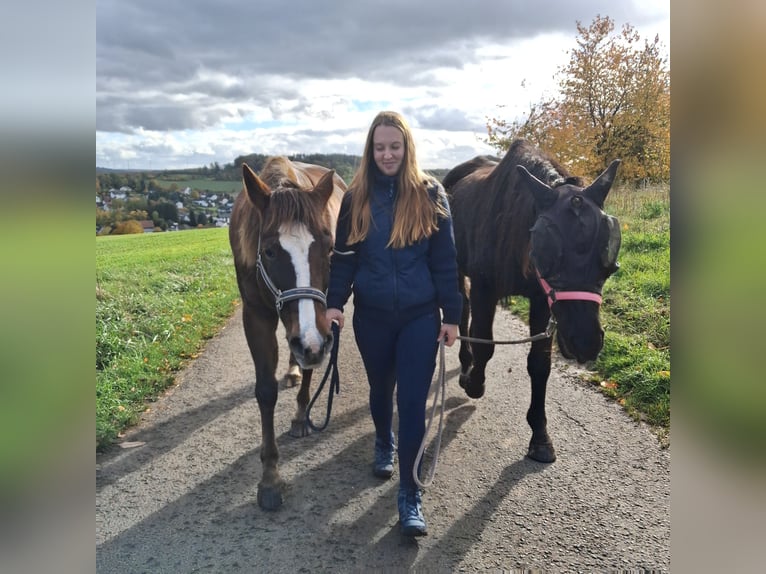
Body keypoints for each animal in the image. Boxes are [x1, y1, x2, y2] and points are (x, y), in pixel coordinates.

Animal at [229, 156, 346, 510]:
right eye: (269, 251)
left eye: (329, 247)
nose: (310, 344)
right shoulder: (256, 315)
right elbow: (266, 391)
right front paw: (270, 475)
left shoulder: (319, 326)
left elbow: (311, 366)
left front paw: (300, 415)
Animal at [444, 139, 622, 463]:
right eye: (549, 253)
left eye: (607, 258)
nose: (585, 341)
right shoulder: (485, 289)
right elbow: (483, 343)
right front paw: (475, 382)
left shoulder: (541, 299)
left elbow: (540, 364)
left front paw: (540, 435)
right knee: (462, 311)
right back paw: (465, 366)